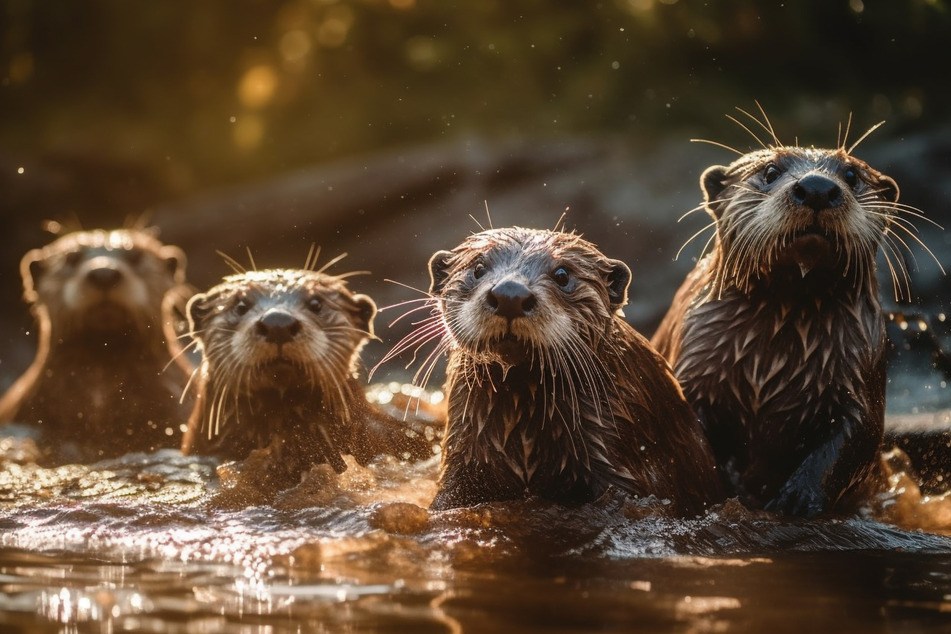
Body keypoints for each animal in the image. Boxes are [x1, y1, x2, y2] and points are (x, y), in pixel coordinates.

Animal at [652, 131, 906, 516]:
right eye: (770, 171)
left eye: (851, 175)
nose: (817, 187)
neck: (770, 357)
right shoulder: (692, 369)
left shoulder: (861, 372)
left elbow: (856, 439)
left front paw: (797, 499)